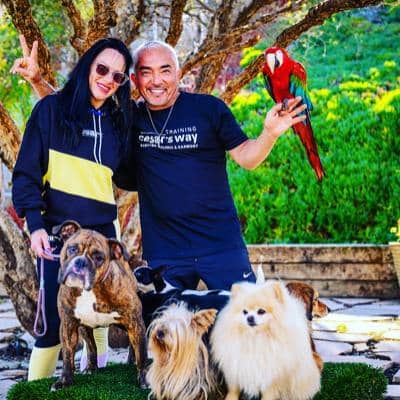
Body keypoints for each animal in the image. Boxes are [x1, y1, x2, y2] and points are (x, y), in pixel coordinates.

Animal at [51, 221, 147, 391]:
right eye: (72, 249)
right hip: (84, 328)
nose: (81, 261)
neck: (91, 290)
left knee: (132, 344)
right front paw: (64, 381)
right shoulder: (68, 324)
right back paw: (91, 367)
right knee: (91, 346)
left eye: (98, 257)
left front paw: (143, 379)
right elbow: (68, 355)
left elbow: (141, 352)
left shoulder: (135, 322)